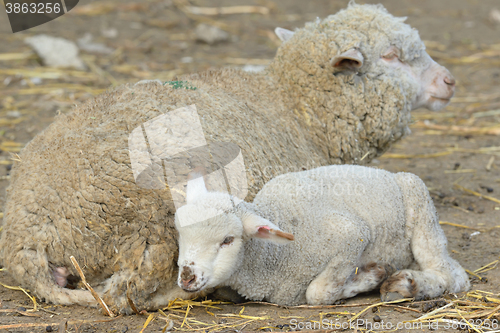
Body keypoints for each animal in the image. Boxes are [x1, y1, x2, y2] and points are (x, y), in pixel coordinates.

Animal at [175, 165, 468, 304]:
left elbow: (317, 292)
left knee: (453, 276)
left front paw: (372, 276)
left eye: (227, 240)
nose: (187, 278)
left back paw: (407, 284)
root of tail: (387, 173)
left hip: (420, 206)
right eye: (180, 234)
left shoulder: (351, 235)